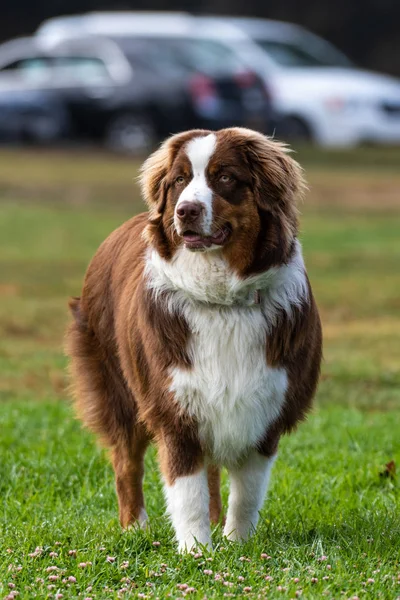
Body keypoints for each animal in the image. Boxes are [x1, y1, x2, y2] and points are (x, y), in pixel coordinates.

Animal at [65, 129, 322, 552]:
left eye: (226, 178)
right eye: (180, 180)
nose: (184, 211)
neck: (223, 299)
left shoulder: (265, 407)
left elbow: (247, 491)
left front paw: (237, 544)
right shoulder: (173, 407)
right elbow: (186, 492)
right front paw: (196, 551)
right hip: (117, 390)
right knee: (126, 462)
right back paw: (134, 528)